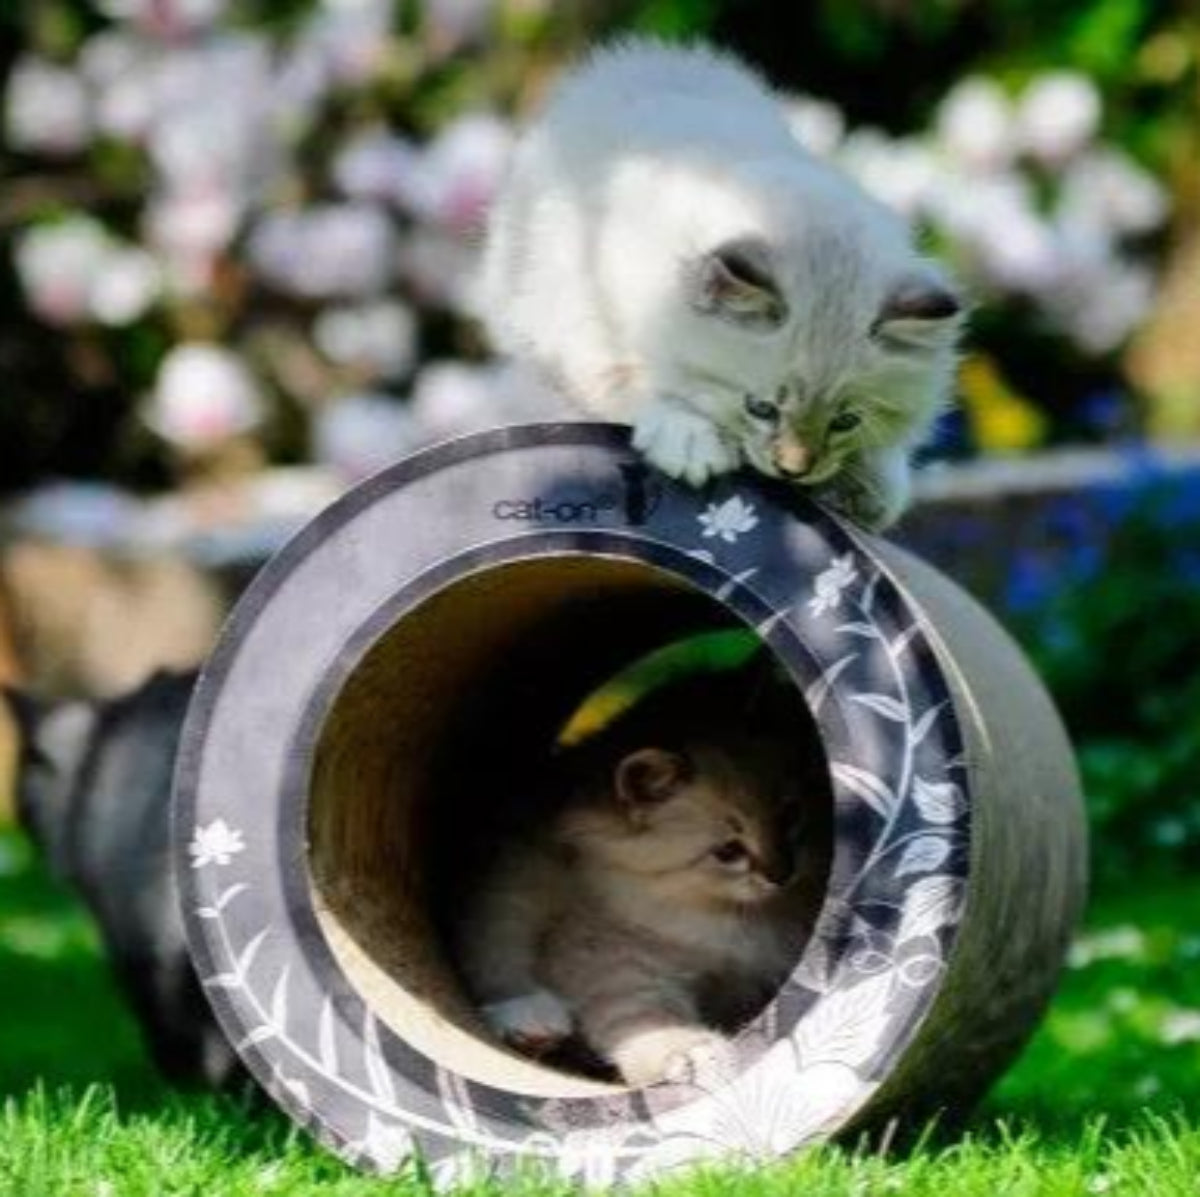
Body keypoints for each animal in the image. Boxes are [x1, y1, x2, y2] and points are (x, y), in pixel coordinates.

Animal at [477, 39, 964, 527]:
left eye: (846, 421)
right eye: (761, 408)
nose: (794, 470)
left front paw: (875, 486)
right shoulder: (587, 325)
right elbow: (642, 386)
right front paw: (689, 443)